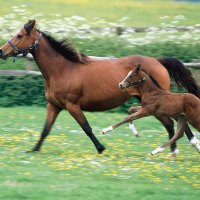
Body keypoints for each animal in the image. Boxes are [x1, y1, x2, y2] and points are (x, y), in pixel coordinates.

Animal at [0, 19, 199, 154]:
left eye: (19, 35)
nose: (2, 51)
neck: (62, 69)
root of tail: (158, 61)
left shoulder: (72, 105)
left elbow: (86, 127)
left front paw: (101, 147)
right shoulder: (54, 105)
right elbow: (45, 130)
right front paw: (33, 150)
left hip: (157, 103)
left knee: (173, 123)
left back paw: (184, 147)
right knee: (172, 123)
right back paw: (176, 149)